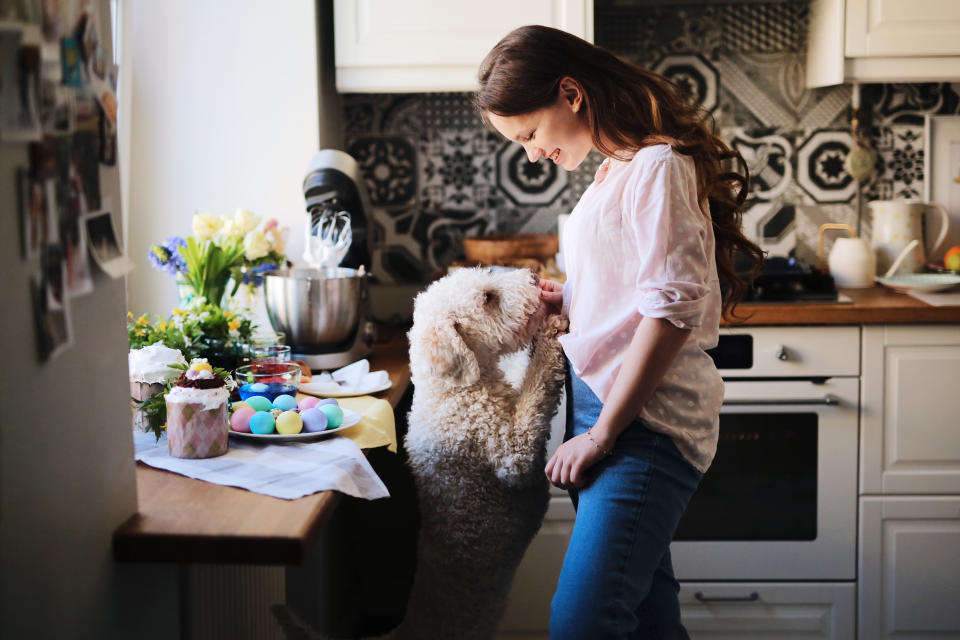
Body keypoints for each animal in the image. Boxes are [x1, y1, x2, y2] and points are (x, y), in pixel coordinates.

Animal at [274, 266, 568, 640]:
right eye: (488, 298)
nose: (534, 275)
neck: (455, 389)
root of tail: (405, 628)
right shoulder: (513, 453)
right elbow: (535, 388)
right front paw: (552, 331)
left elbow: (522, 375)